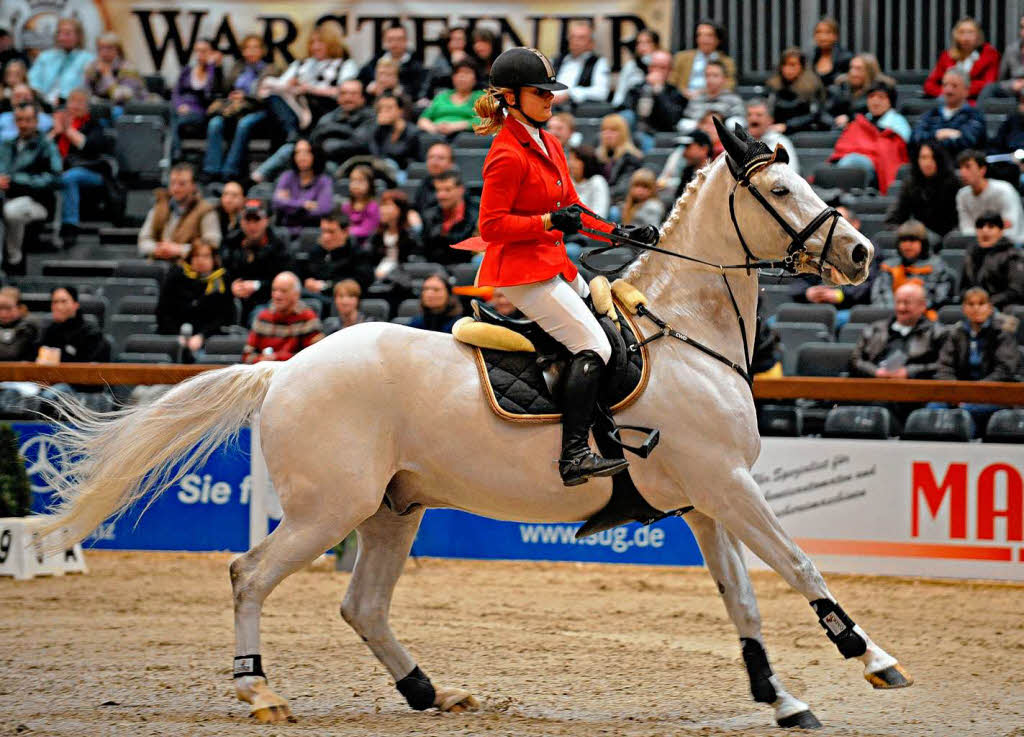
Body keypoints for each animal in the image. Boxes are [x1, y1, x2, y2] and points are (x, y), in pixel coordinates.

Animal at [36, 123, 913, 728]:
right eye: (785, 193)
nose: (863, 255)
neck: (686, 330)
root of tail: (285, 367)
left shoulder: (704, 498)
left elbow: (745, 603)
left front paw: (782, 697)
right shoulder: (726, 484)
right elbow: (799, 566)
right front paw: (871, 657)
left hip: (393, 508)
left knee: (363, 606)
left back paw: (429, 689)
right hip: (330, 508)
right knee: (249, 574)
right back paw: (260, 690)